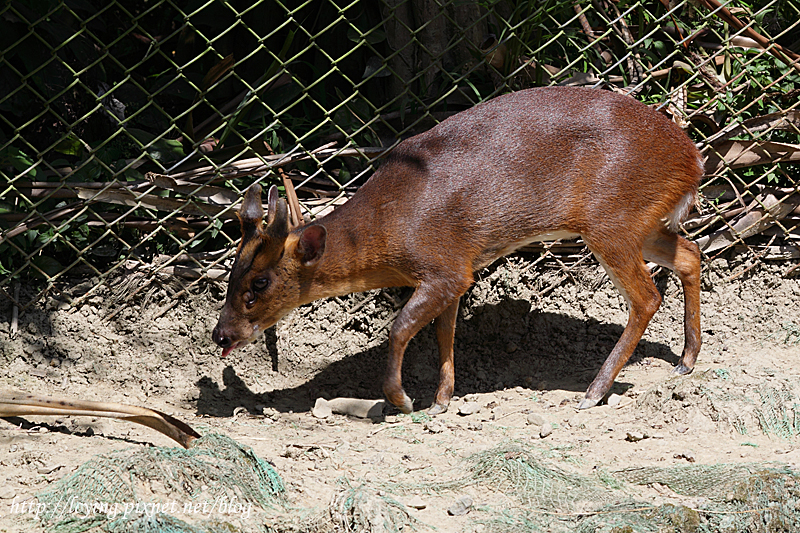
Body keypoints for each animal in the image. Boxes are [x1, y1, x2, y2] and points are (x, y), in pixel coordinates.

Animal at [211, 86, 700, 412]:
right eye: (231, 272)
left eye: (260, 282)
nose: (221, 335)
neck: (388, 225)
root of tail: (693, 158)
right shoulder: (455, 269)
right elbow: (444, 332)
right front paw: (442, 399)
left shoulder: (442, 265)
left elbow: (400, 328)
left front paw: (402, 400)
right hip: (638, 221)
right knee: (690, 254)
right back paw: (686, 360)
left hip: (610, 219)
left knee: (646, 296)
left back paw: (594, 392)